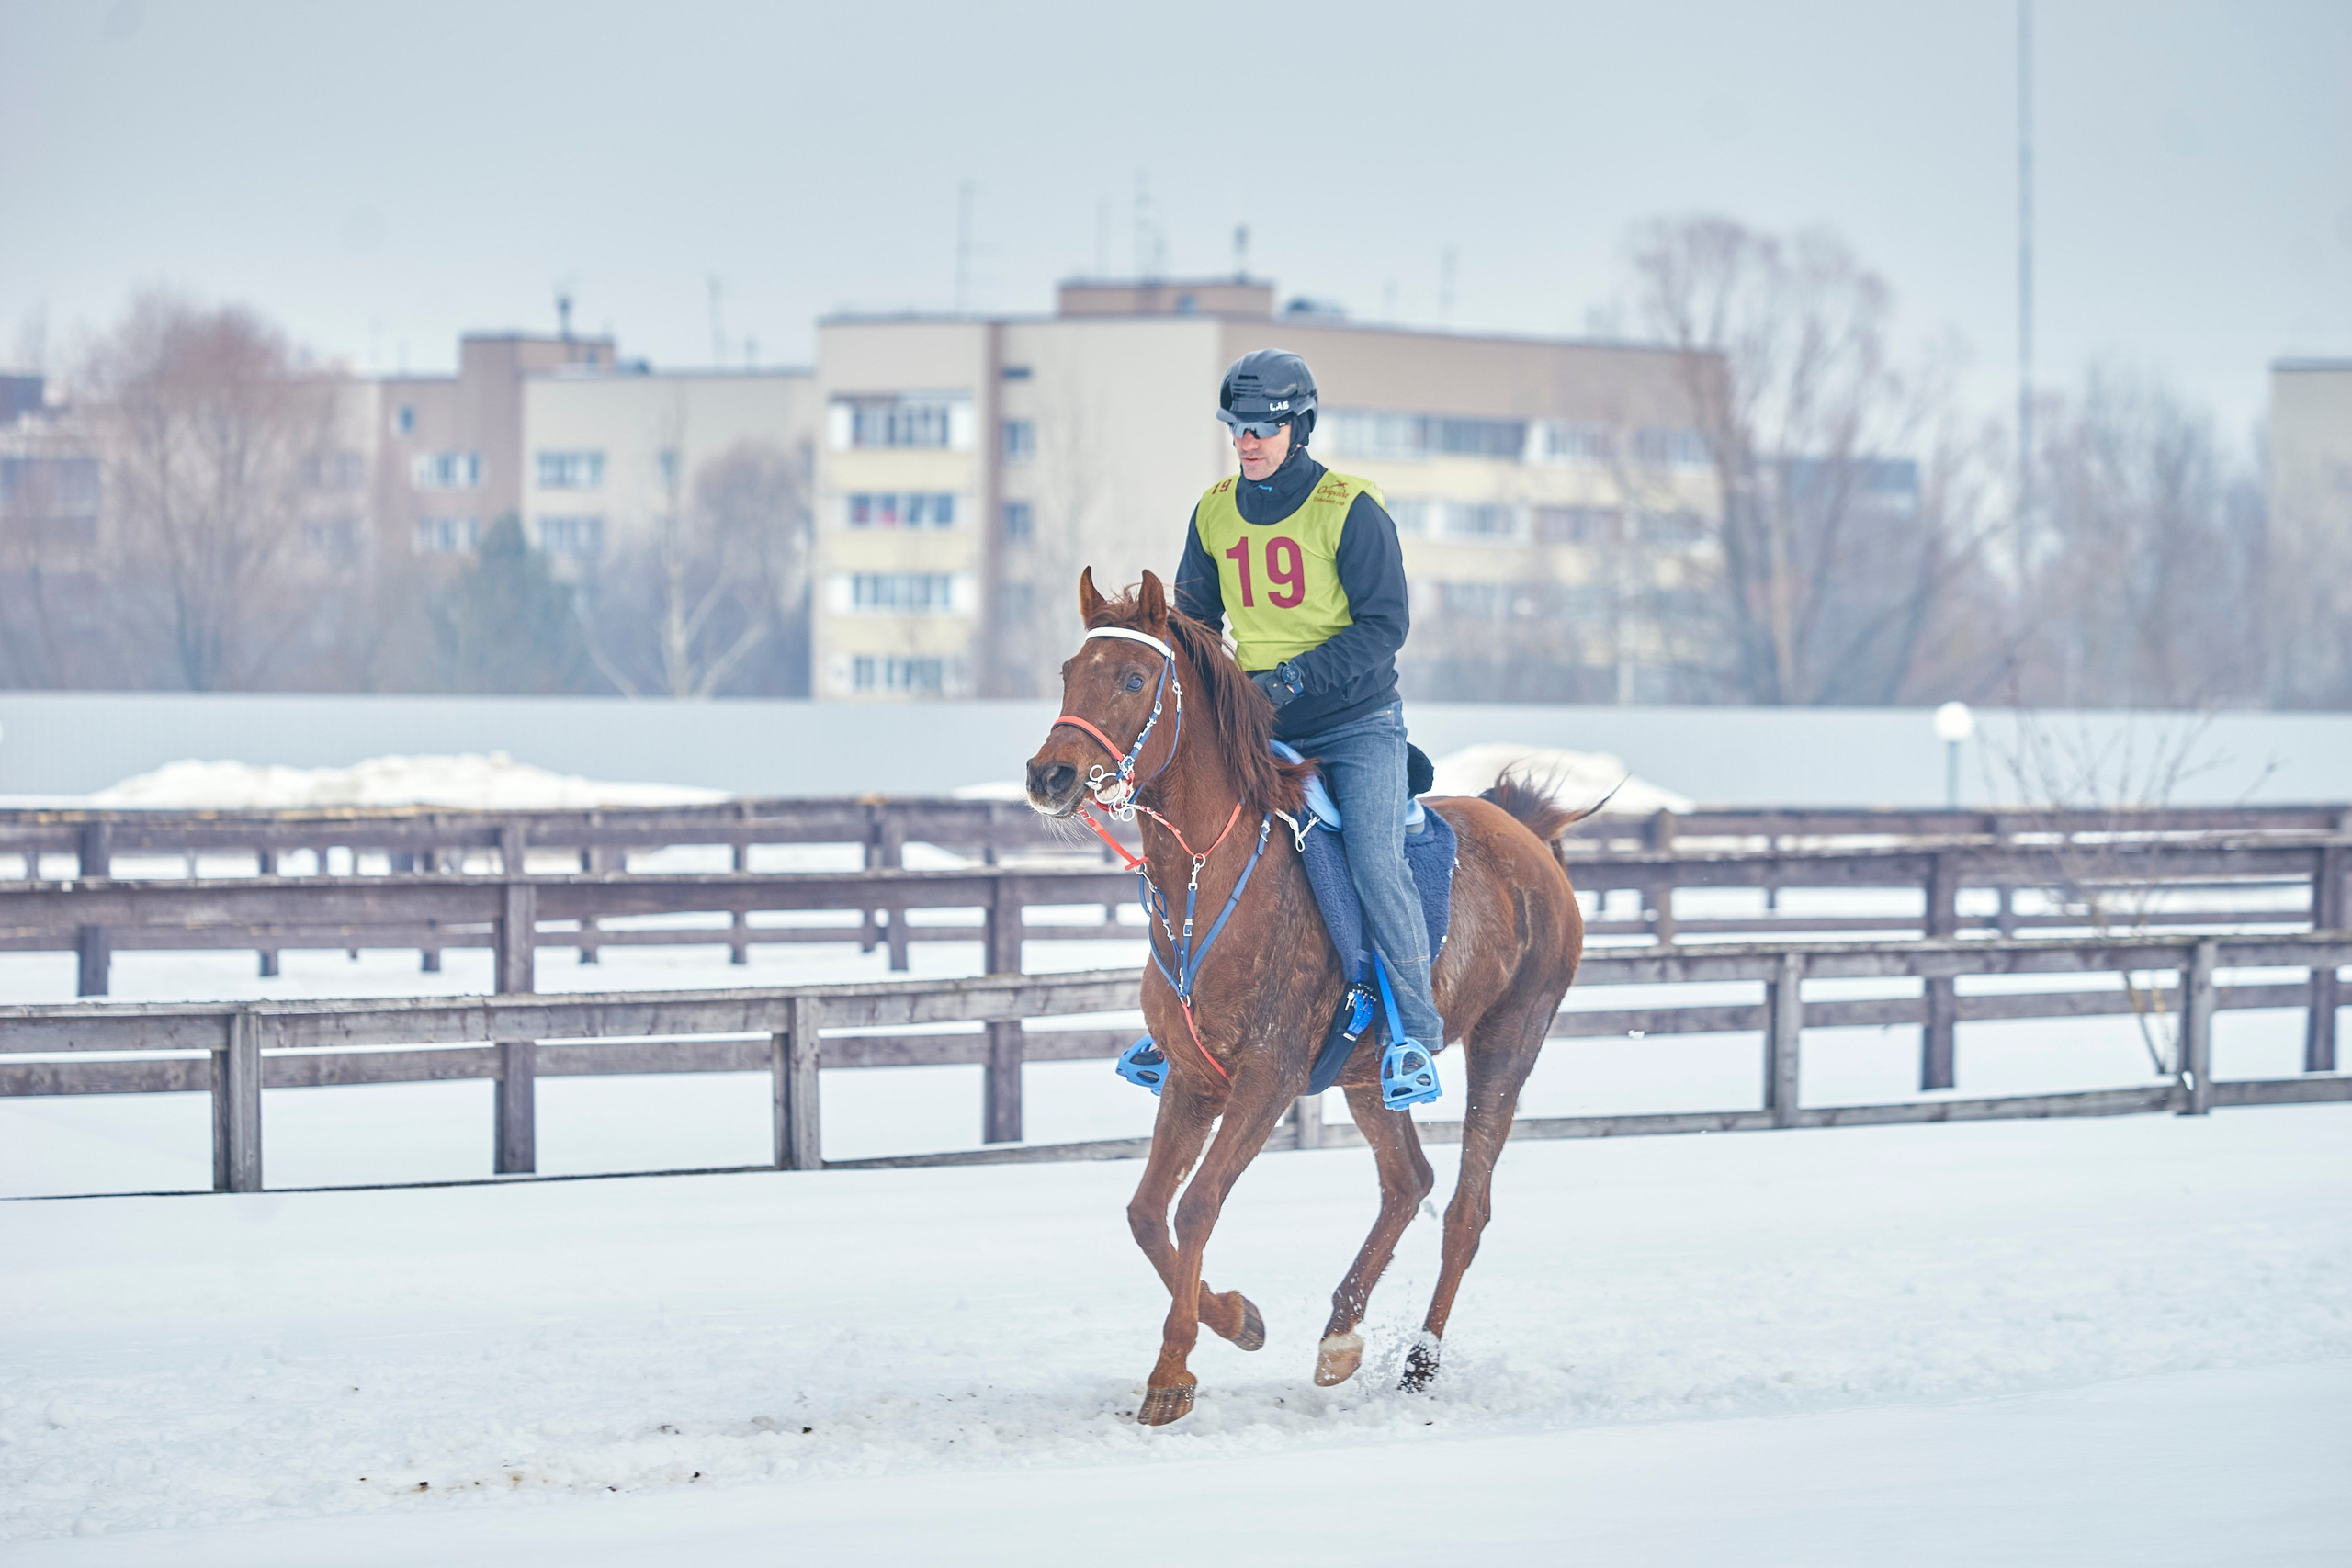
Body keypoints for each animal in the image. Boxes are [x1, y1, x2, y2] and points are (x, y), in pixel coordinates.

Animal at [1023, 568, 1587, 1426]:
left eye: (1133, 677)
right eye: (1068, 671)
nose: (1048, 775)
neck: (1209, 877)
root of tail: (1527, 834)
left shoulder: (1268, 1078)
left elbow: (1195, 1206)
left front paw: (1173, 1370)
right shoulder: (1193, 1079)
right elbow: (1149, 1213)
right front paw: (1238, 1318)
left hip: (1509, 1041)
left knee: (1465, 1207)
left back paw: (1420, 1359)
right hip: (1367, 1079)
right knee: (1408, 1183)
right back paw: (1341, 1337)